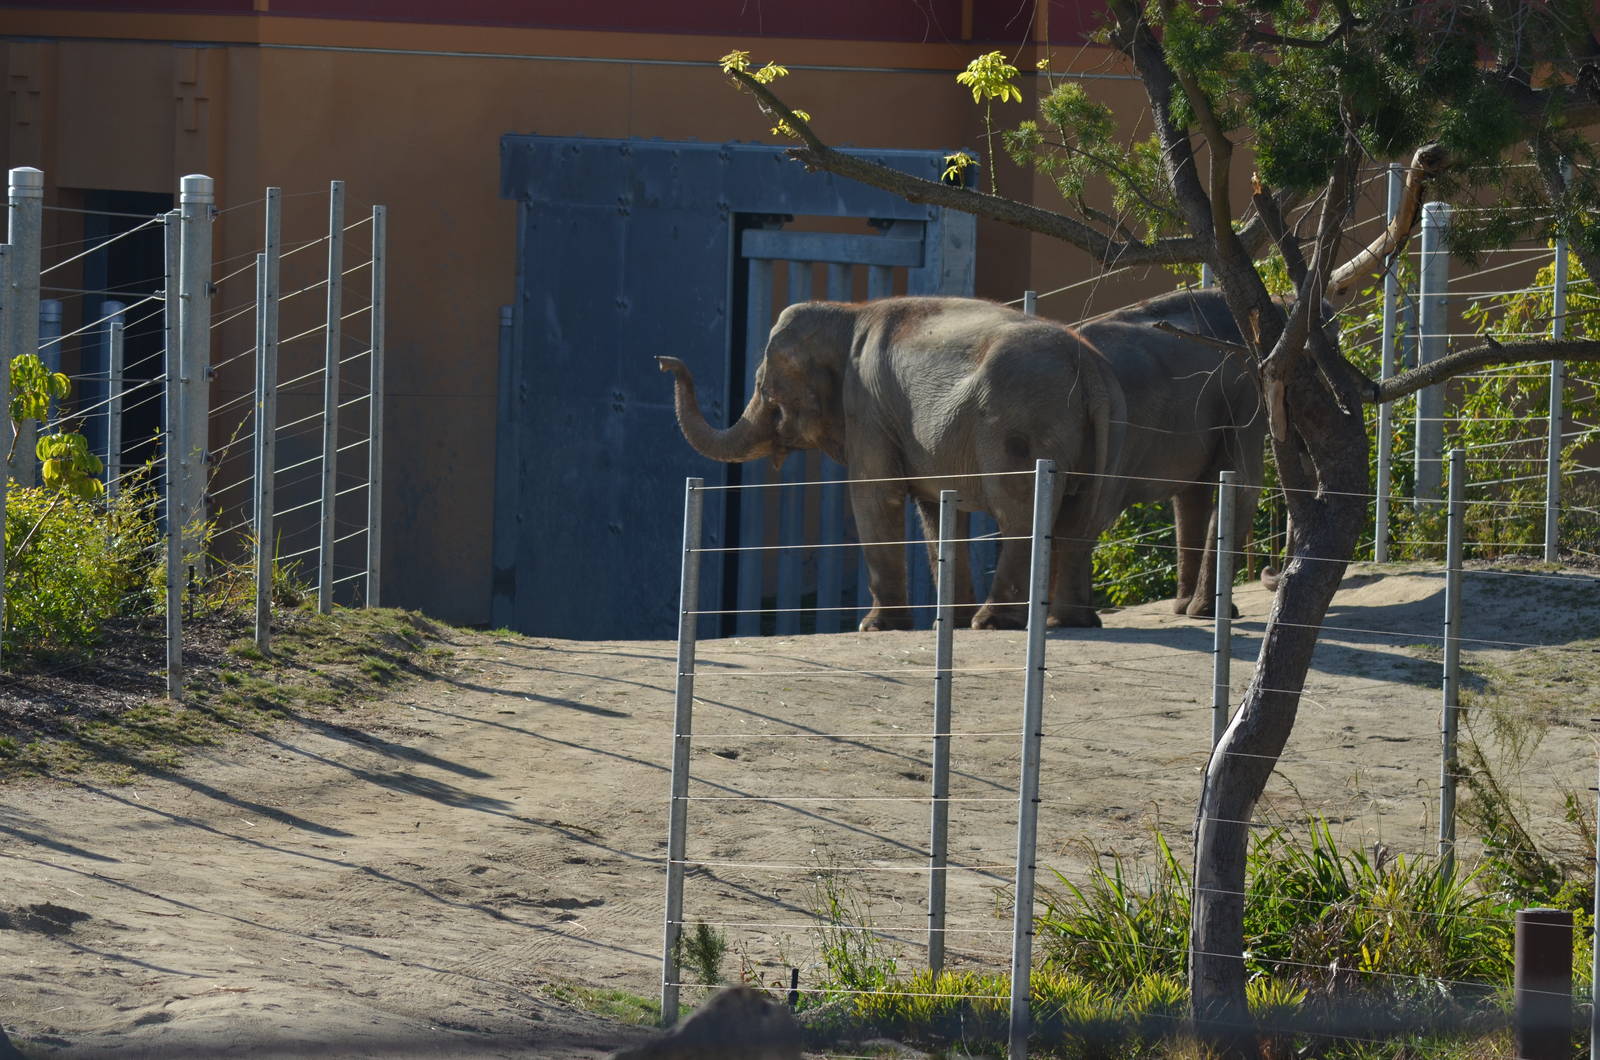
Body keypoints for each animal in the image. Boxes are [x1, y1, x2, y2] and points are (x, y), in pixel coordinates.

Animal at [658, 296, 1128, 631]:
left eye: (766, 391)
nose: (664, 361)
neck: (849, 313)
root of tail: (1089, 367)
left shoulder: (866, 407)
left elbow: (874, 494)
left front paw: (877, 627)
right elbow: (937, 510)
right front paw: (946, 622)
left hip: (1018, 426)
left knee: (1020, 514)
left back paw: (994, 623)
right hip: (1105, 430)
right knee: (1081, 521)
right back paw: (1067, 621)